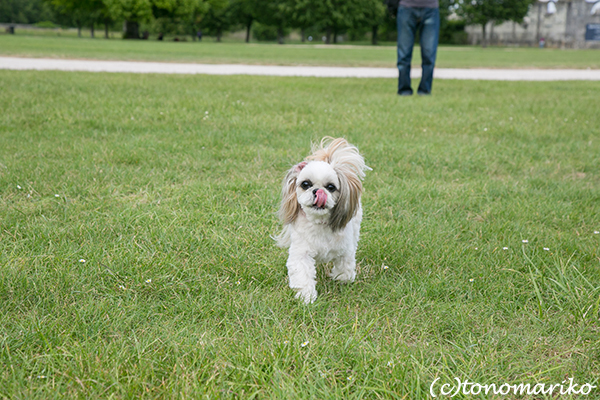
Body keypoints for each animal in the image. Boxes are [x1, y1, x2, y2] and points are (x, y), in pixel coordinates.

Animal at [276, 138, 370, 304]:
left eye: (331, 187)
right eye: (305, 184)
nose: (317, 191)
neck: (319, 223)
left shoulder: (345, 249)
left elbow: (345, 266)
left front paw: (342, 280)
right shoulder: (301, 253)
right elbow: (302, 274)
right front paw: (306, 297)